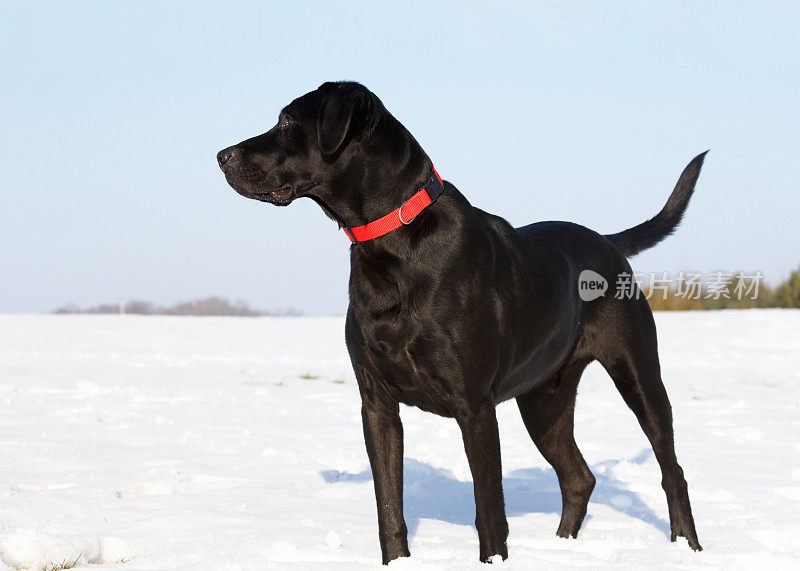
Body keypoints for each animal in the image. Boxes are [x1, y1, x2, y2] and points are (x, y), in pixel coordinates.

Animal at [216, 82, 704, 564]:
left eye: (289, 120)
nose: (221, 156)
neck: (391, 243)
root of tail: (608, 241)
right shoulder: (376, 402)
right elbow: (388, 506)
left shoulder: (474, 405)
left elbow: (488, 510)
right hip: (543, 399)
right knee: (578, 477)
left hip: (638, 372)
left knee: (672, 469)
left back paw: (688, 545)